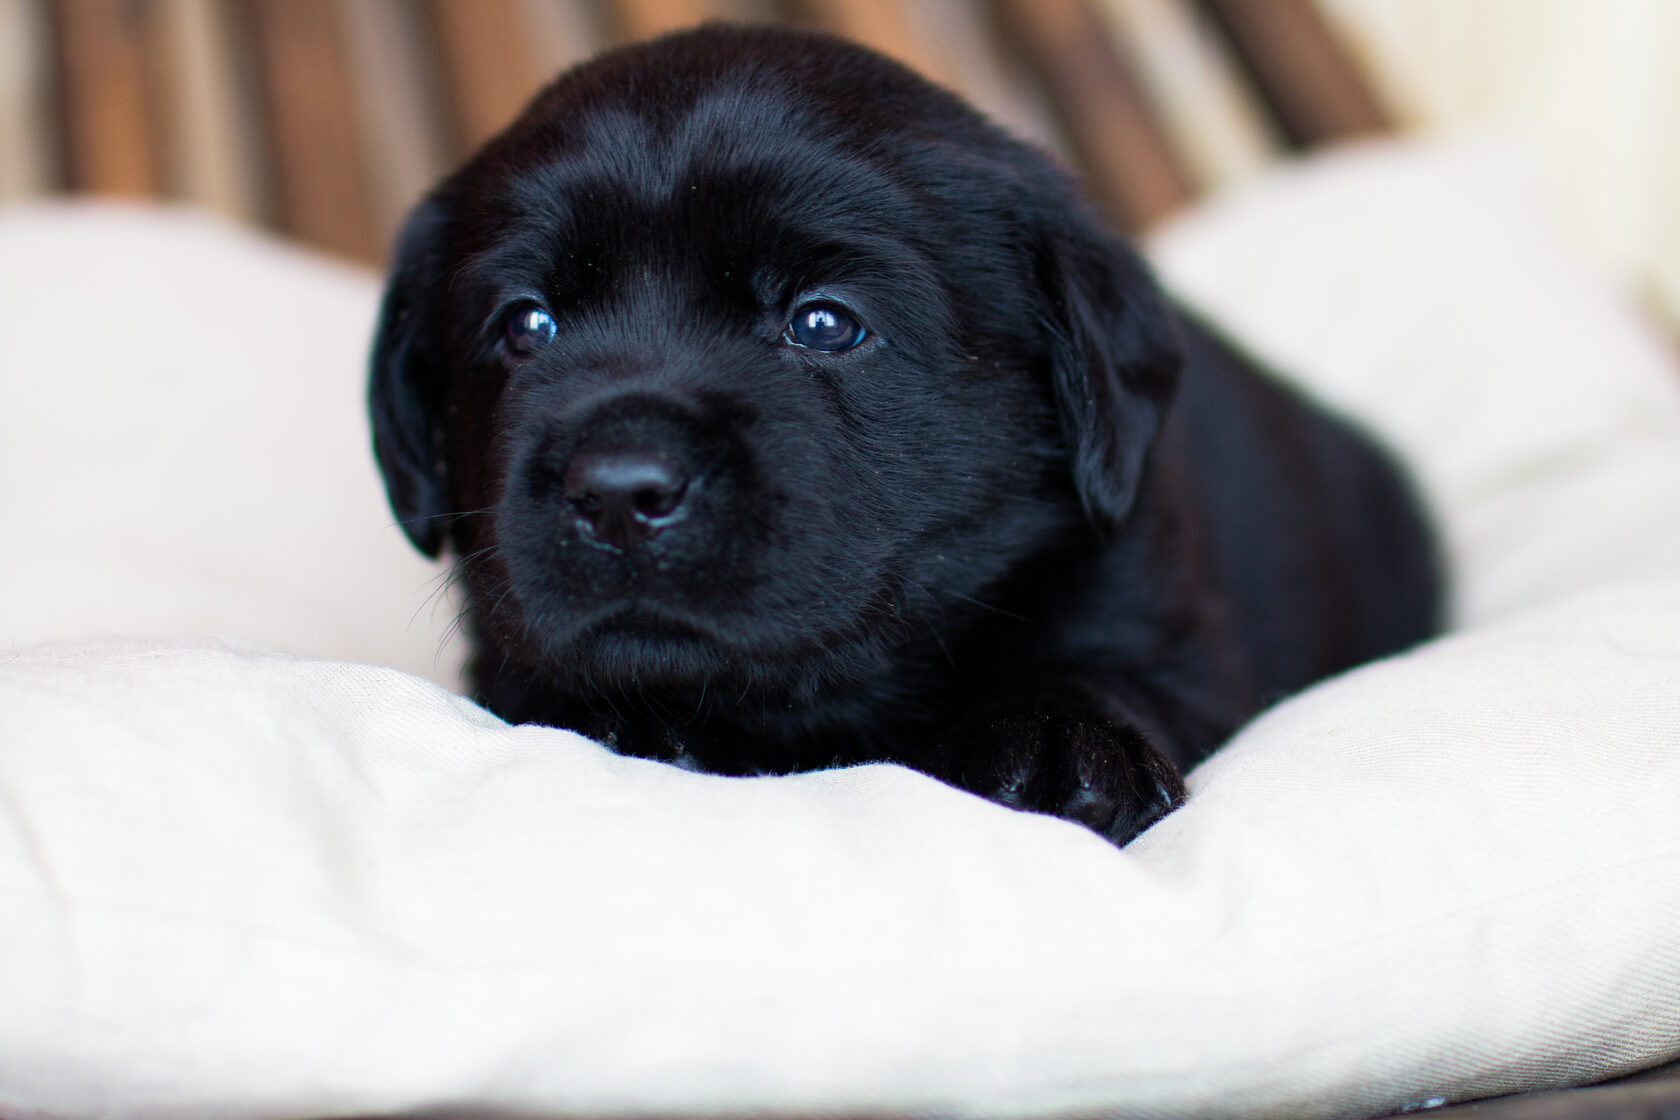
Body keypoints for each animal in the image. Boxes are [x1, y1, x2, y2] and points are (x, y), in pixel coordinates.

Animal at [371, 24, 1444, 839]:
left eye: (825, 323)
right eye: (526, 326)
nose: (620, 491)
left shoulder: (1161, 616)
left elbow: (1106, 670)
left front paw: (1061, 746)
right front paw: (618, 718)